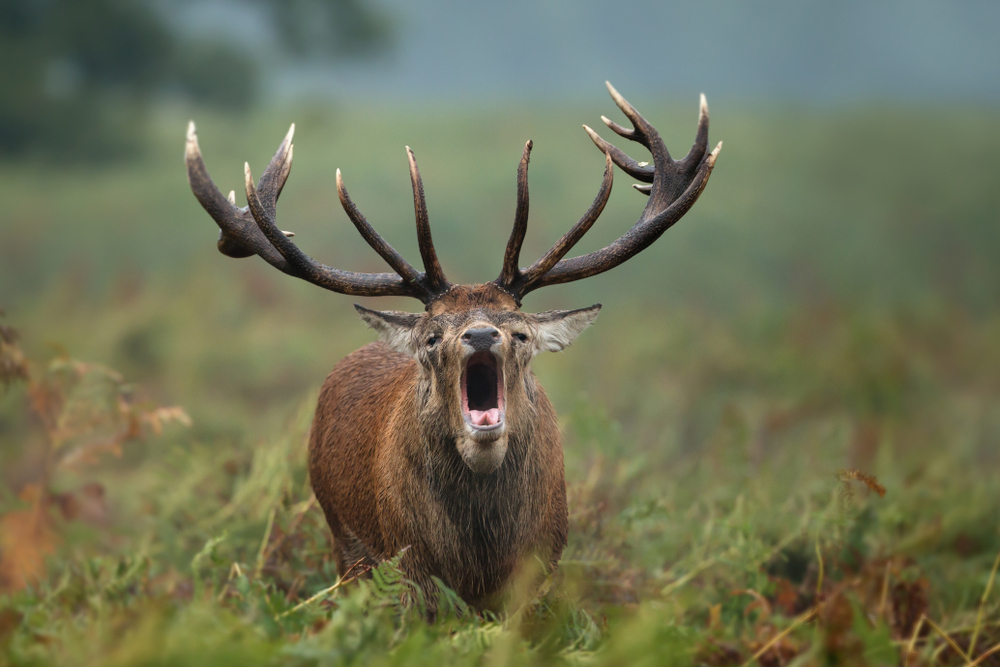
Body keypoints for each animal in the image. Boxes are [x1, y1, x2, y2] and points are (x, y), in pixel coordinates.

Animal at [186, 81, 720, 612]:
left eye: (520, 331)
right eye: (431, 336)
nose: (482, 334)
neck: (479, 562)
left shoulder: (542, 568)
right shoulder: (407, 569)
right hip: (344, 542)